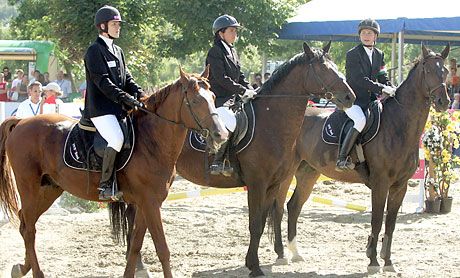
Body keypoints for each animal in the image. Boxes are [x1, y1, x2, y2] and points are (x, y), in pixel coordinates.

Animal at [0, 67, 228, 278]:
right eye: (196, 101)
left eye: (213, 97)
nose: (221, 134)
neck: (151, 140)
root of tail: (21, 122)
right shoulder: (151, 202)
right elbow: (162, 249)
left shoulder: (145, 203)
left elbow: (135, 245)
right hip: (29, 187)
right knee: (29, 229)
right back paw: (36, 272)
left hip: (49, 189)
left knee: (24, 222)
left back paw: (21, 268)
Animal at [114, 41, 356, 276]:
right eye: (323, 69)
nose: (350, 97)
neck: (271, 122)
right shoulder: (257, 183)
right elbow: (255, 224)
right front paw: (255, 267)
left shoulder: (272, 184)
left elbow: (262, 221)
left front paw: (252, 263)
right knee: (132, 215)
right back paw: (139, 265)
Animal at [274, 44, 450, 272]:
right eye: (427, 71)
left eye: (445, 72)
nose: (444, 102)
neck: (399, 125)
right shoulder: (380, 182)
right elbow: (376, 219)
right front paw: (373, 260)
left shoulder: (400, 185)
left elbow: (391, 223)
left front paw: (388, 262)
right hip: (286, 173)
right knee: (278, 207)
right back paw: (281, 254)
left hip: (308, 172)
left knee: (294, 206)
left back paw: (296, 253)